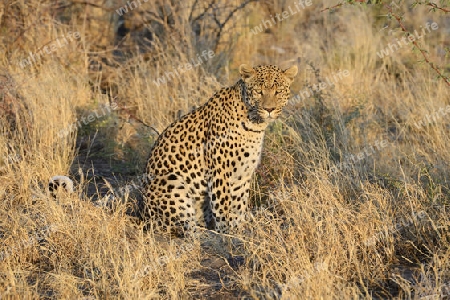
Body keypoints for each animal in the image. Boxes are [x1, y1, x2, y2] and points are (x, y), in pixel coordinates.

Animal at [139, 63, 298, 234]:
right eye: (258, 91)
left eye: (278, 91)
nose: (269, 109)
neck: (254, 125)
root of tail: (143, 216)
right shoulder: (220, 171)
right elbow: (222, 205)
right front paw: (226, 233)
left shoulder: (243, 174)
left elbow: (238, 205)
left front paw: (239, 229)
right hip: (169, 181)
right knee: (183, 227)